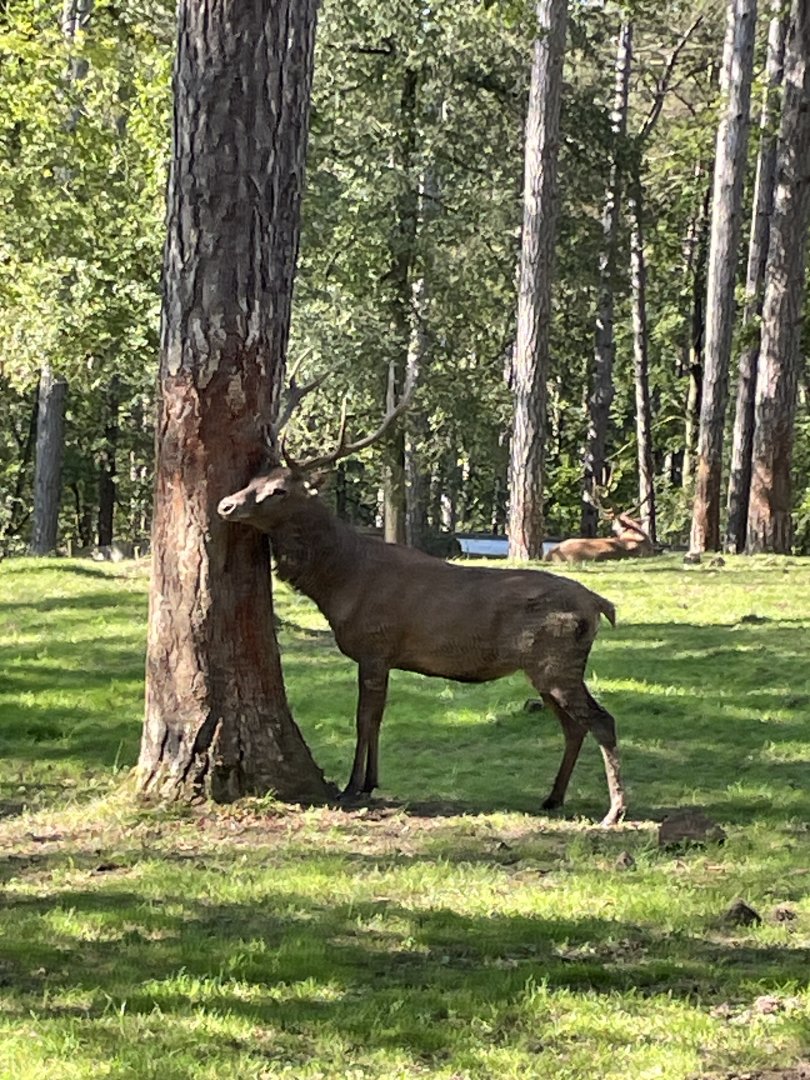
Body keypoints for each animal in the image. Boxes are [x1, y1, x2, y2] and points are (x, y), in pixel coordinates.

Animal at [217, 379, 626, 826]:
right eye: (255, 477)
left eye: (278, 490)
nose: (225, 504)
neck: (341, 583)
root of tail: (599, 604)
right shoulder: (383, 657)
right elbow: (376, 719)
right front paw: (370, 781)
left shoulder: (375, 647)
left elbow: (365, 720)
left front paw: (353, 786)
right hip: (546, 669)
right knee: (574, 726)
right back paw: (553, 797)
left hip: (556, 662)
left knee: (602, 721)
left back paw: (615, 810)